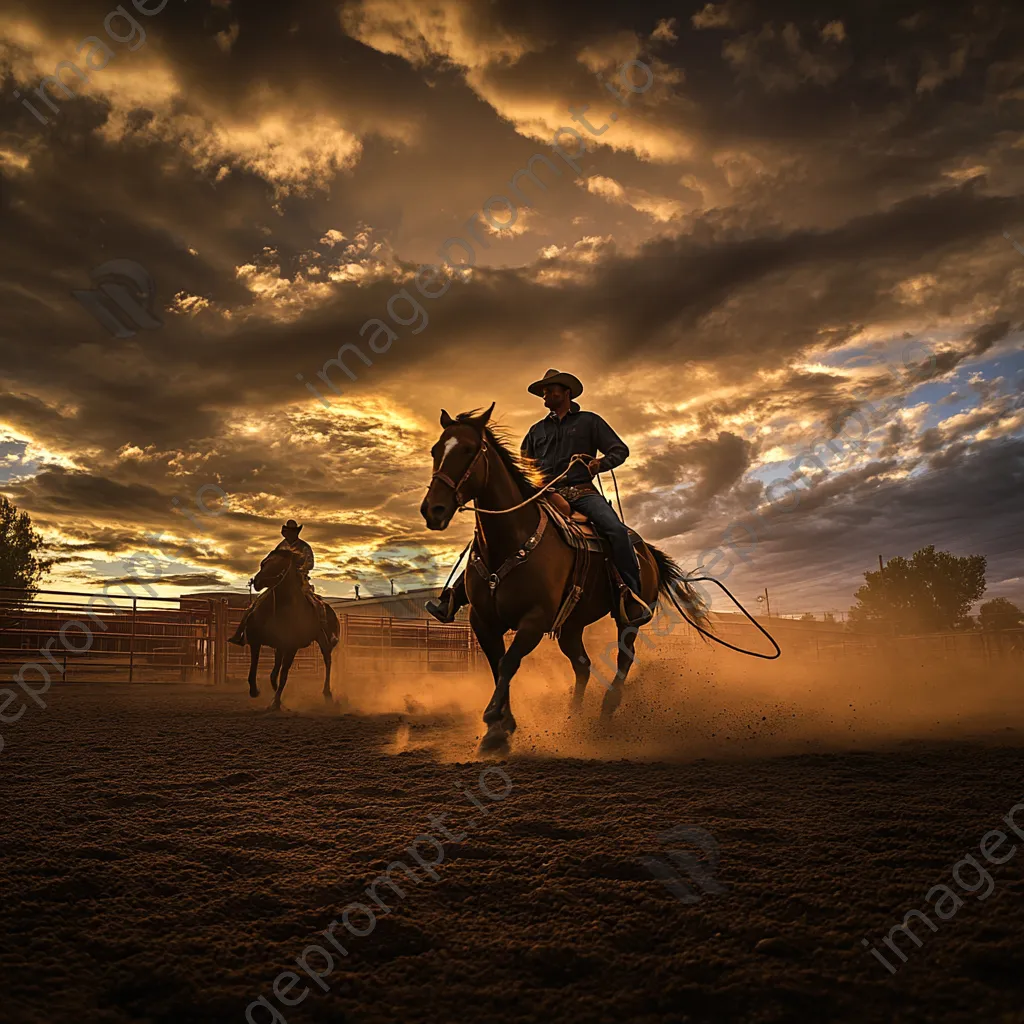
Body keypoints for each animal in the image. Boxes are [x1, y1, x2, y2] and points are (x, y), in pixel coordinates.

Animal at [241, 548, 337, 708]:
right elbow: (254, 669)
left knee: (328, 661)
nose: (257, 581)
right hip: (281, 647)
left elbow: (284, 675)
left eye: (280, 565)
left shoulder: (291, 647)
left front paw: (276, 702)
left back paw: (327, 692)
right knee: (274, 673)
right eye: (263, 563)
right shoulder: (257, 641)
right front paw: (256, 692)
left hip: (323, 641)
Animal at [419, 405, 708, 753]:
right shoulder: (483, 621)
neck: (511, 539)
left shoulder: (534, 620)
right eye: (436, 450)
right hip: (571, 625)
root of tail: (647, 552)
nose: (433, 509)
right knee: (582, 664)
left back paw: (606, 710)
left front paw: (495, 725)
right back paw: (574, 717)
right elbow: (497, 665)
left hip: (628, 619)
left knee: (624, 657)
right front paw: (501, 726)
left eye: (468, 449)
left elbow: (508, 663)